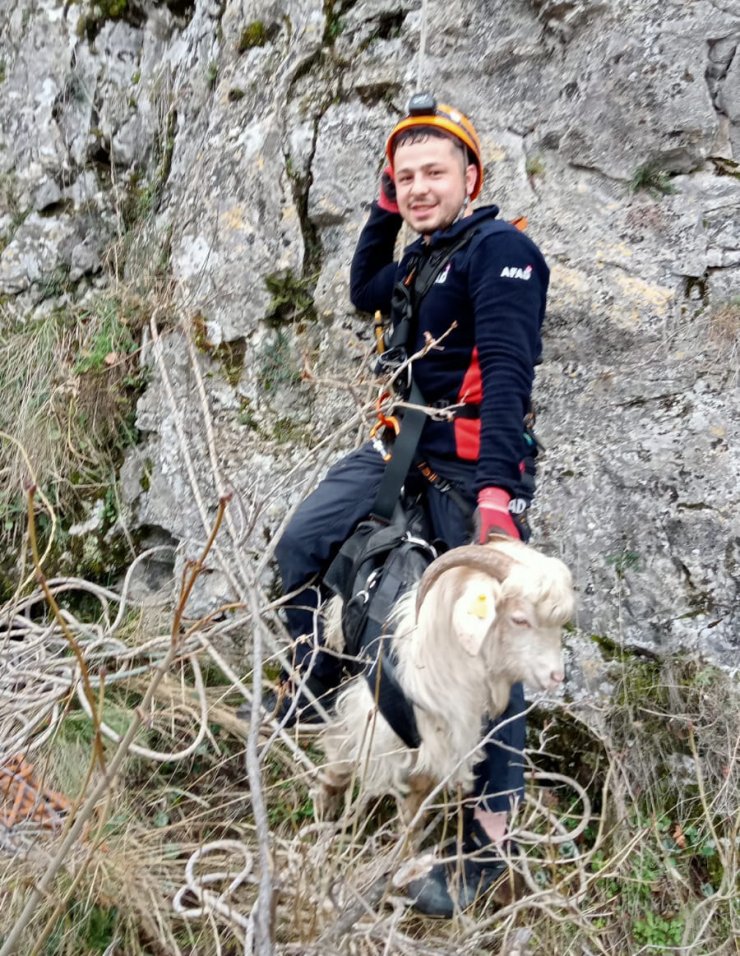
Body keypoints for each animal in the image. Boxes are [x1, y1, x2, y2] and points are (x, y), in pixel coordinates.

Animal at [316, 536, 576, 820]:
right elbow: (340, 762)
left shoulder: (439, 745)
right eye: (519, 619)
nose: (556, 676)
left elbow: (414, 806)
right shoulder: (368, 720)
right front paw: (325, 811)